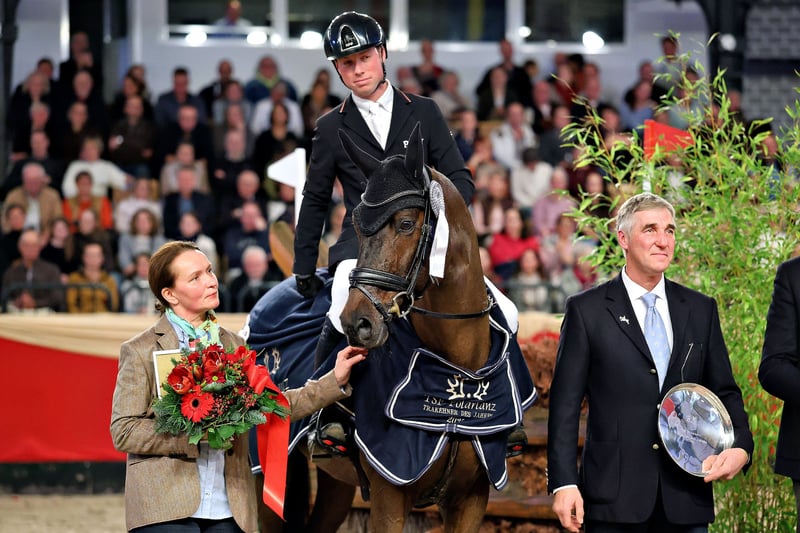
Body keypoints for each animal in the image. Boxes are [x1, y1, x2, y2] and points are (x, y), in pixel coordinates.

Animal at [245, 124, 536, 533]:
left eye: (406, 224)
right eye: (355, 224)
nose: (357, 324)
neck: (456, 366)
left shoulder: (471, 499)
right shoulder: (390, 496)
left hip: (336, 483)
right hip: (269, 473)